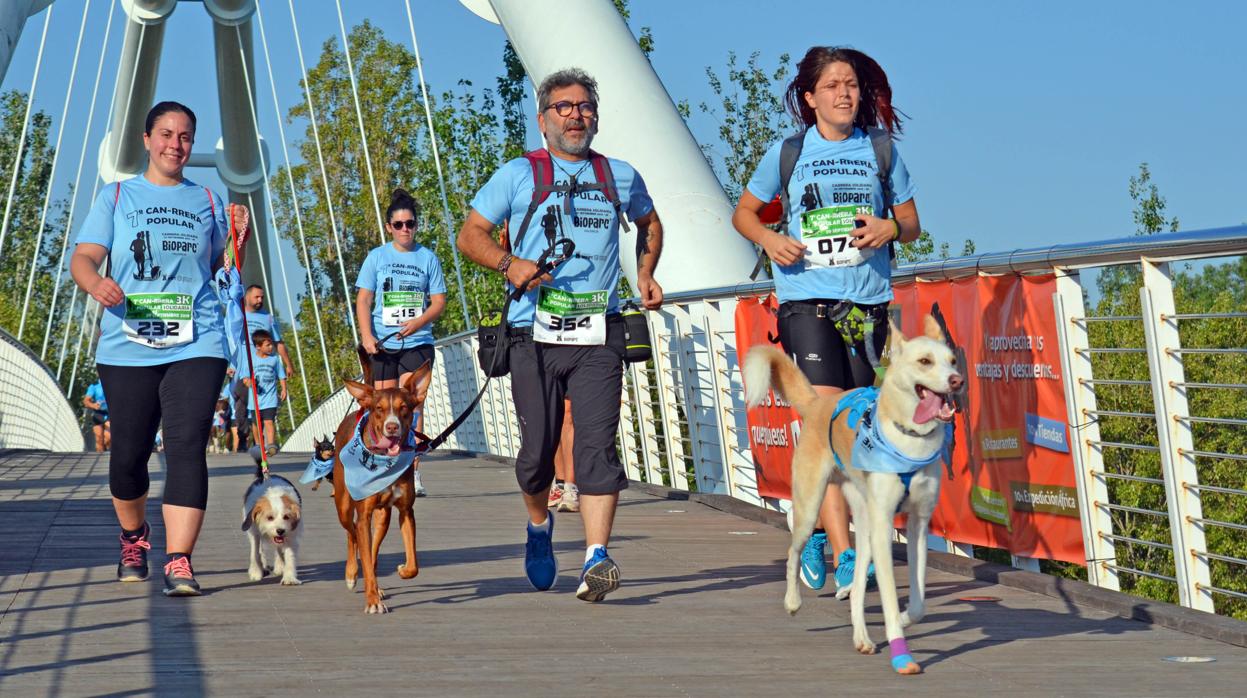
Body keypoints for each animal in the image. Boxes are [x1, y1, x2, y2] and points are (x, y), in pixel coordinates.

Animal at [743, 314, 957, 673]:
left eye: (952, 361)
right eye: (925, 362)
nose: (957, 380)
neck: (909, 438)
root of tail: (818, 403)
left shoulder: (918, 524)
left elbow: (918, 604)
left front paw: (904, 617)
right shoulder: (885, 526)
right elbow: (888, 596)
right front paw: (901, 653)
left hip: (865, 522)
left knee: (856, 590)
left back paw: (862, 639)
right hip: (811, 506)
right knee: (792, 551)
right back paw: (792, 601)